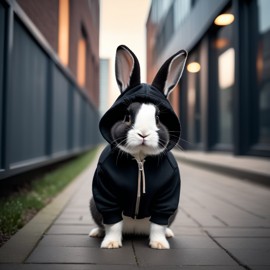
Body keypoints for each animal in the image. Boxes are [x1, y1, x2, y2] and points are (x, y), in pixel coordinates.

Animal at [89, 44, 187, 249]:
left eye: (158, 118)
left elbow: (158, 224)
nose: (143, 134)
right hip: (94, 204)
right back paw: (97, 233)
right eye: (127, 117)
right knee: (103, 224)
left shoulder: (167, 199)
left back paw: (169, 234)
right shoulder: (106, 195)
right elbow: (113, 223)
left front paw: (159, 245)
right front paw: (111, 244)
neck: (140, 160)